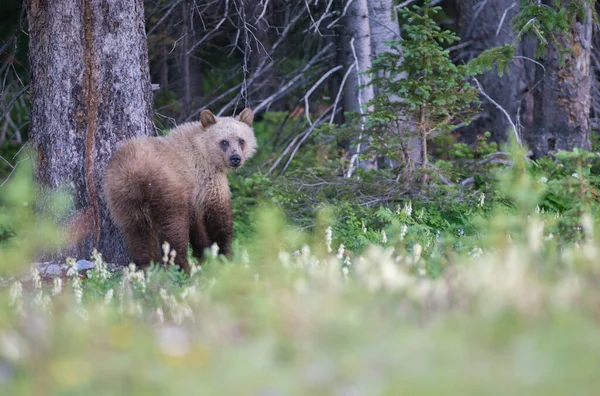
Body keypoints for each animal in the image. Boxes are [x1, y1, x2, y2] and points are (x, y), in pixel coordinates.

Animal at [102, 106, 256, 270]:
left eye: (241, 140)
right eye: (224, 142)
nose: (235, 158)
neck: (204, 150)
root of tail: (135, 174)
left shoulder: (195, 192)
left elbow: (198, 225)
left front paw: (206, 254)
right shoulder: (206, 178)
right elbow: (218, 215)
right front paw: (226, 255)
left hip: (122, 198)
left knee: (137, 233)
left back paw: (148, 266)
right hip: (167, 188)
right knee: (174, 228)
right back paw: (182, 266)